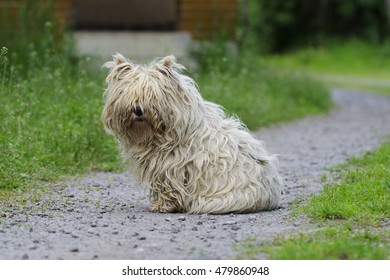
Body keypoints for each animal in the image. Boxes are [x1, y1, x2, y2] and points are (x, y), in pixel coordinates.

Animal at [102, 53, 282, 213]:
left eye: (152, 95)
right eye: (128, 94)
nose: (138, 110)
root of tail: (268, 195)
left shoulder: (171, 166)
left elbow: (168, 187)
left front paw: (163, 206)